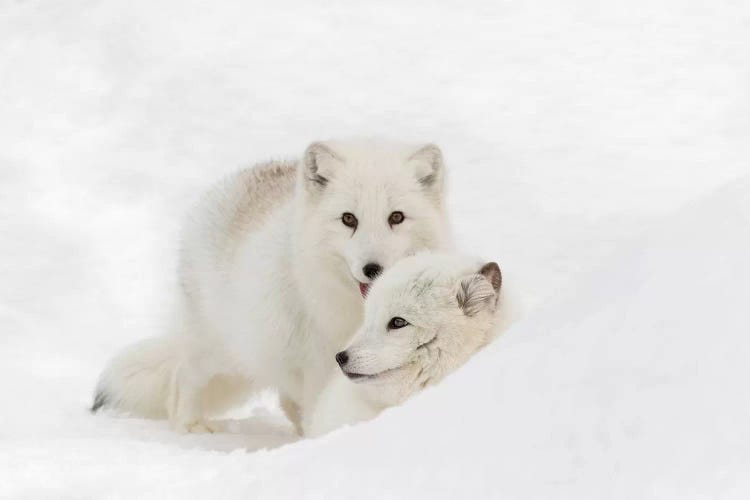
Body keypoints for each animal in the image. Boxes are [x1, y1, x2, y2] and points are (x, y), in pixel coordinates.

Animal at [91, 139, 450, 432]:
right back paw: (190, 425)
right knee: (183, 375)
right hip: (220, 350)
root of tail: (230, 183)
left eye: (396, 217)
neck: (355, 311)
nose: (373, 269)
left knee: (286, 402)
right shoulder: (322, 362)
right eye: (349, 219)